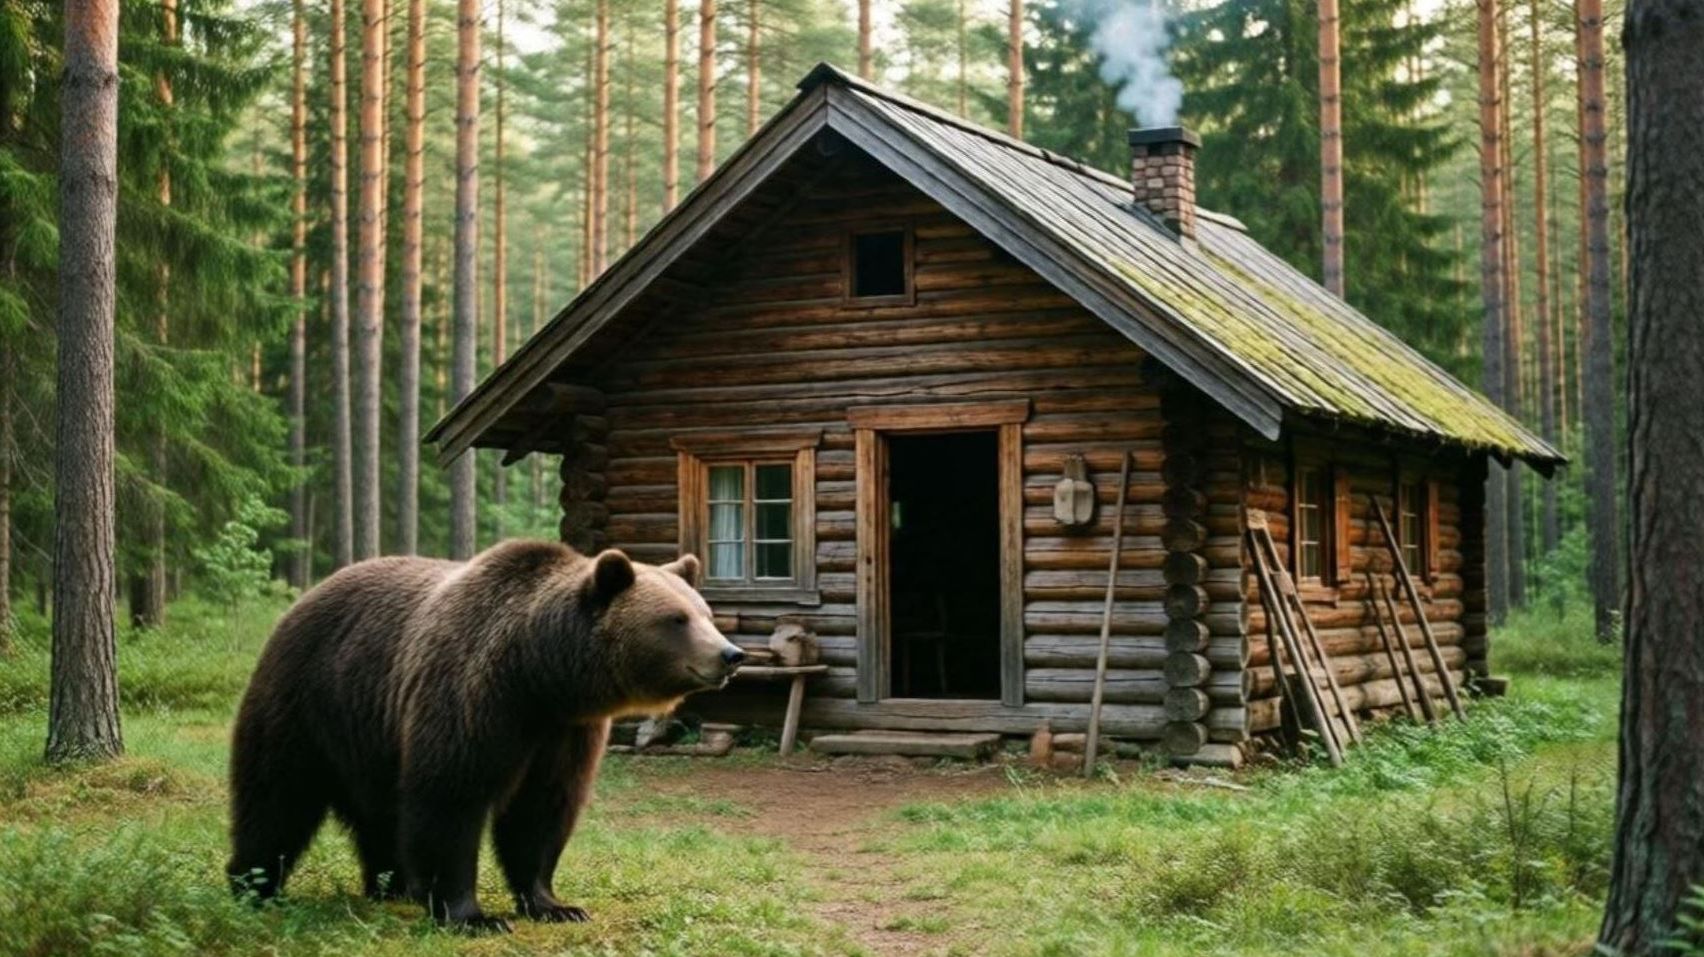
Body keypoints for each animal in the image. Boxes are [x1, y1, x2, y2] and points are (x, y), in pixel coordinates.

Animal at [225, 540, 743, 932]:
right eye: (676, 619)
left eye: (706, 613)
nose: (730, 654)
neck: (541, 674)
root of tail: (305, 597)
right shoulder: (475, 697)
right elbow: (451, 799)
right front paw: (472, 916)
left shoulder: (564, 732)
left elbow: (543, 810)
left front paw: (556, 905)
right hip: (308, 703)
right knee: (275, 797)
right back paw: (253, 884)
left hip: (368, 736)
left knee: (378, 815)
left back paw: (392, 885)